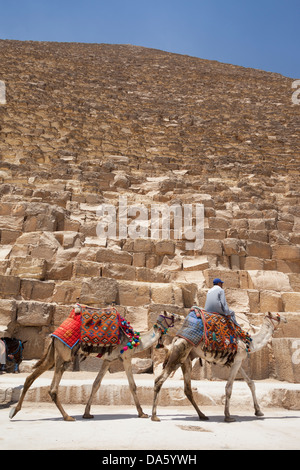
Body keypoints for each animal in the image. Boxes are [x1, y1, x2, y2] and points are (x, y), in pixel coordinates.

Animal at [9, 310, 183, 420]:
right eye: (175, 317)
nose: (183, 316)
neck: (134, 341)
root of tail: (54, 335)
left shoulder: (108, 360)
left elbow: (96, 384)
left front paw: (87, 413)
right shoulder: (125, 357)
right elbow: (132, 386)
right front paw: (142, 413)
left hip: (54, 353)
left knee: (30, 378)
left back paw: (14, 411)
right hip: (63, 354)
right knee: (52, 388)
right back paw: (67, 417)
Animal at [151, 310, 288, 424]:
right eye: (277, 316)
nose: (286, 319)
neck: (250, 342)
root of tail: (176, 339)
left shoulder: (236, 362)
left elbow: (250, 383)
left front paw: (258, 411)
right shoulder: (237, 361)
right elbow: (229, 388)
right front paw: (228, 416)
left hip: (186, 360)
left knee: (187, 389)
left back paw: (202, 415)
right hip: (179, 354)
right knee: (159, 380)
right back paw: (154, 416)